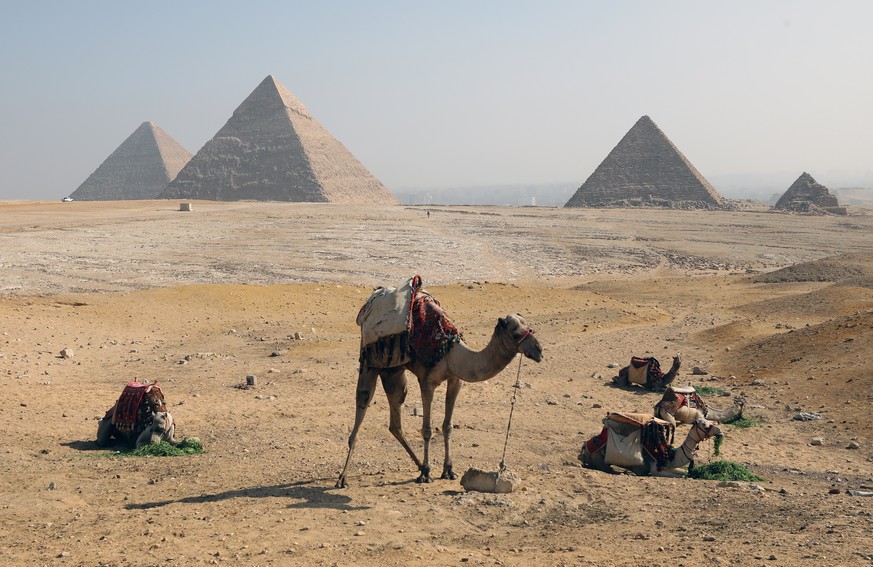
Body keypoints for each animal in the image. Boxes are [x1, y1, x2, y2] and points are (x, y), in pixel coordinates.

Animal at [338, 292, 540, 488]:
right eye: (516, 333)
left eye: (530, 327)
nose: (539, 351)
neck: (450, 352)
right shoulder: (427, 382)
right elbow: (427, 429)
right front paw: (426, 474)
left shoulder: (455, 380)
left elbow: (447, 426)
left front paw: (448, 470)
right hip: (369, 361)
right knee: (362, 403)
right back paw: (342, 478)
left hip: (393, 370)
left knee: (395, 418)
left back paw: (419, 464)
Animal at [580, 412, 724, 480]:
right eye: (704, 425)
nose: (720, 432)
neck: (670, 455)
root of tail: (584, 449)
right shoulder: (655, 469)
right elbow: (682, 475)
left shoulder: (669, 466)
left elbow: (685, 472)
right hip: (599, 458)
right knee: (605, 467)